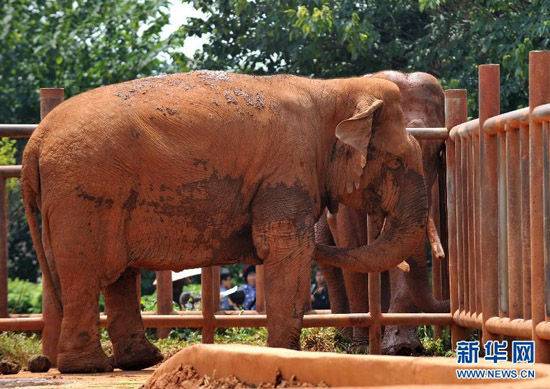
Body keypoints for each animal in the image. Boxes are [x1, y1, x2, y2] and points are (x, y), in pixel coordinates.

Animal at [22, 70, 432, 372]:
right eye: (396, 163)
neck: (333, 88)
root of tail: (34, 143)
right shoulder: (286, 169)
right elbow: (286, 248)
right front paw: (284, 353)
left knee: (117, 275)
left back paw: (138, 360)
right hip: (84, 194)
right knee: (87, 274)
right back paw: (88, 367)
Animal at [316, 70, 450, 354]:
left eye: (437, 152)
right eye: (391, 159)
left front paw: (403, 347)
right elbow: (351, 241)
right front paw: (361, 346)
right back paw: (344, 338)